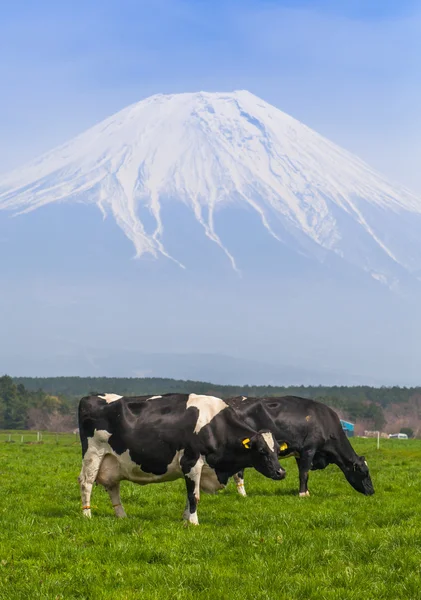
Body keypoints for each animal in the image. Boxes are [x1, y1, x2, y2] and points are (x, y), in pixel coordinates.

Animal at [76, 392, 284, 524]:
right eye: (262, 451)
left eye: (276, 450)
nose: (281, 472)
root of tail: (90, 397)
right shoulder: (191, 462)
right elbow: (194, 495)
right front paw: (193, 522)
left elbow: (190, 495)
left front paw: (185, 518)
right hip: (93, 454)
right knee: (86, 482)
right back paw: (87, 515)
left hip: (113, 461)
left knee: (113, 486)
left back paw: (122, 515)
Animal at [225, 398, 372, 496]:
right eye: (364, 472)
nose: (372, 491)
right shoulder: (309, 449)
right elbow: (304, 473)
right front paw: (303, 494)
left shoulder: (299, 453)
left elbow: (302, 473)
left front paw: (305, 491)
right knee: (239, 472)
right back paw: (243, 495)